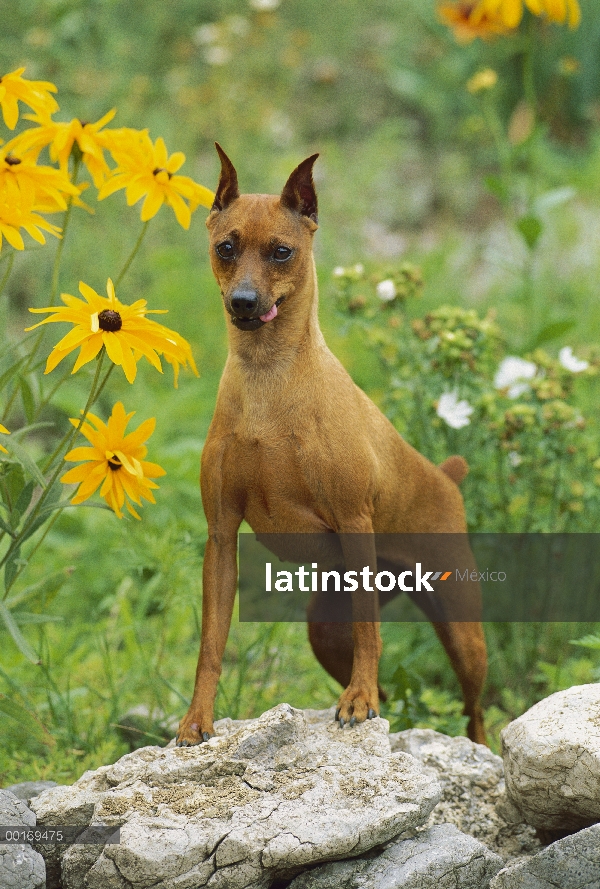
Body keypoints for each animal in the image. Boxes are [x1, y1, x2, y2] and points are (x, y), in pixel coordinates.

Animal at [175, 147, 488, 748]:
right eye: (226, 246)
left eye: (282, 251)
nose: (243, 302)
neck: (269, 382)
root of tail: (447, 475)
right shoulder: (220, 536)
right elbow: (209, 644)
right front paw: (197, 719)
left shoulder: (354, 522)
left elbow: (372, 632)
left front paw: (359, 702)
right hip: (323, 628)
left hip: (463, 634)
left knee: (474, 710)